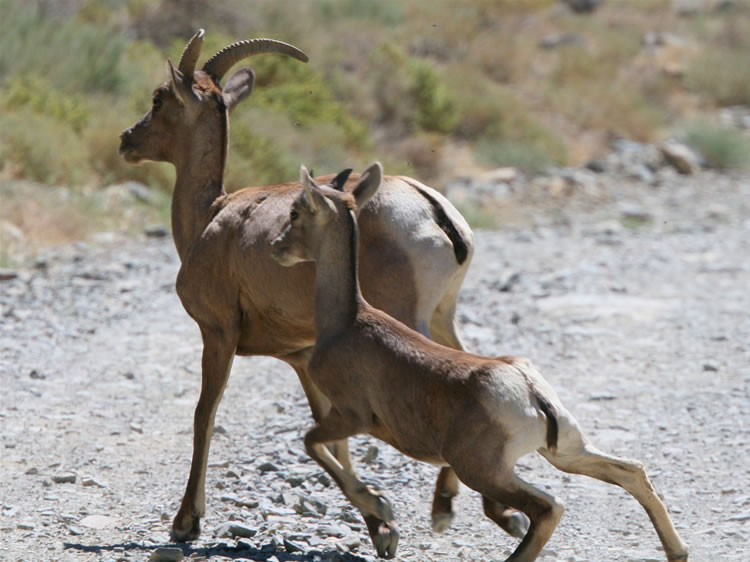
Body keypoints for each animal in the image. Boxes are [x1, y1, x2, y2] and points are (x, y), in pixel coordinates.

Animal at [120, 29, 500, 544]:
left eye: (160, 98)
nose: (127, 140)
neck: (211, 216)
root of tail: (434, 212)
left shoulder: (218, 333)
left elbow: (205, 413)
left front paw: (186, 522)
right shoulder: (302, 357)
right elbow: (329, 431)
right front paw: (379, 526)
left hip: (409, 320)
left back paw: (446, 506)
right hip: (443, 316)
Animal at [270, 162, 692, 560]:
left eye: (297, 211)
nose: (276, 246)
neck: (349, 320)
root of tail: (530, 392)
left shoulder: (351, 417)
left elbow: (312, 443)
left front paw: (380, 506)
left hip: (486, 472)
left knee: (549, 507)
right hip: (565, 453)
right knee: (630, 471)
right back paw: (677, 552)